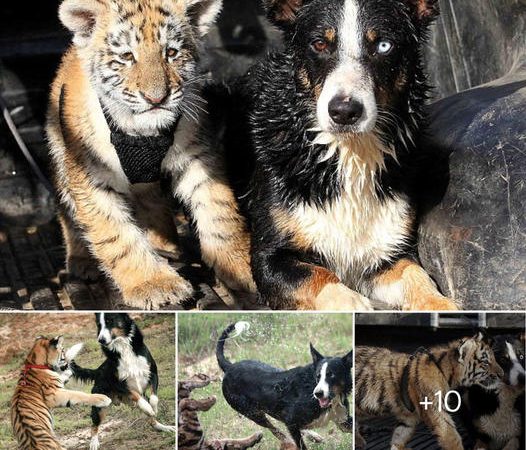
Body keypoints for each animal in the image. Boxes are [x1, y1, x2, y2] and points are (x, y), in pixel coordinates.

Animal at [216, 322, 354, 448]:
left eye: (332, 375)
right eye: (317, 376)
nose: (318, 394)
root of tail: (229, 367)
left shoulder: (344, 422)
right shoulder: (291, 421)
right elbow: (300, 444)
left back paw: (313, 436)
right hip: (253, 412)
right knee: (274, 429)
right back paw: (290, 441)